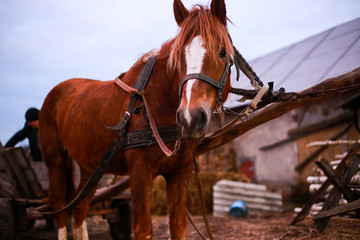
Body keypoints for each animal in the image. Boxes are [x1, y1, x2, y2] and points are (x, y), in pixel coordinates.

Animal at [39, 0, 235, 239]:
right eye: (178, 58)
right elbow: (143, 229)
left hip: (90, 167)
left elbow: (178, 225)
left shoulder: (180, 171)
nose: (191, 117)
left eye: (222, 52)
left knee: (79, 209)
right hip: (55, 161)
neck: (155, 104)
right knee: (60, 209)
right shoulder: (140, 172)